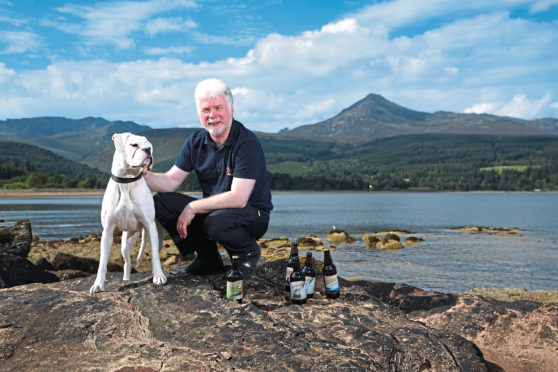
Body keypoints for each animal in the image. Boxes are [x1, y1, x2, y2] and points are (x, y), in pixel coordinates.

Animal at [89, 132, 167, 292]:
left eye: (149, 146)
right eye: (134, 145)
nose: (148, 151)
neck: (126, 180)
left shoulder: (150, 225)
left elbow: (155, 256)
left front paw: (158, 276)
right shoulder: (108, 231)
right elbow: (102, 262)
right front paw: (98, 284)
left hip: (154, 236)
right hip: (125, 243)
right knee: (127, 262)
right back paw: (126, 279)